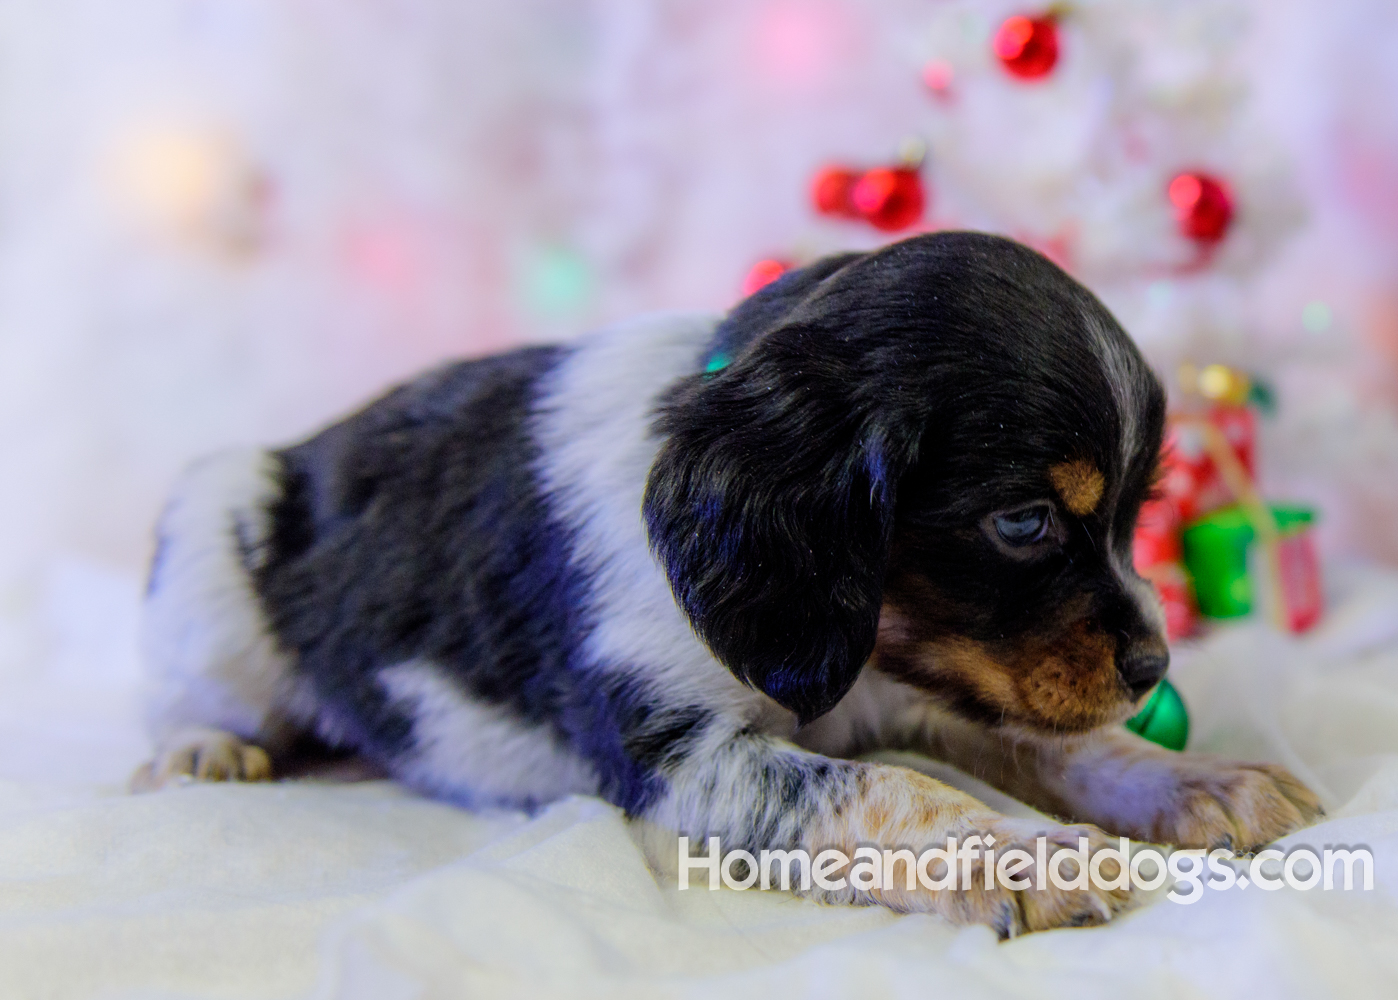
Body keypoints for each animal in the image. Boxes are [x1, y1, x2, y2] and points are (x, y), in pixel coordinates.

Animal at [133, 234, 1319, 939]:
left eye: (1137, 515)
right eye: (1023, 523)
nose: (1155, 667)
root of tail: (296, 451)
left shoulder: (932, 686)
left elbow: (1067, 745)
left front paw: (1205, 778)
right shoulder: (684, 762)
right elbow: (890, 789)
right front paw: (1027, 852)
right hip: (214, 534)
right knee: (197, 690)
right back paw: (200, 749)